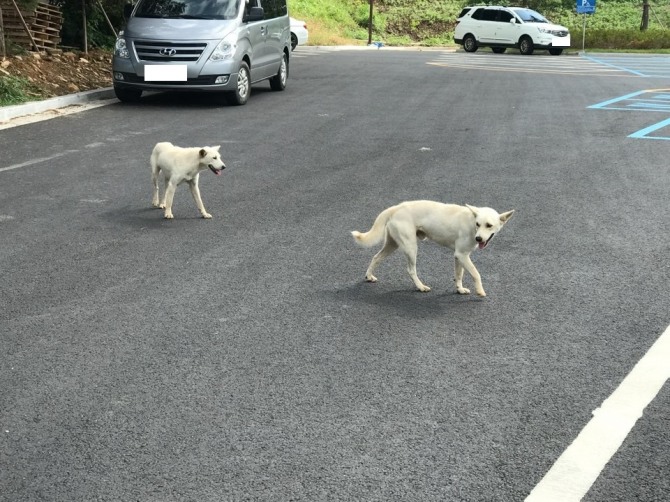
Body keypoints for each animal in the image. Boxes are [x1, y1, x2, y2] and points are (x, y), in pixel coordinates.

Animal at [352, 199, 516, 294]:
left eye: (489, 225)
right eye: (478, 224)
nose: (479, 238)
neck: (471, 221)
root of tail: (396, 207)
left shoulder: (460, 256)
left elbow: (459, 274)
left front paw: (460, 289)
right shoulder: (462, 255)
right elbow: (476, 274)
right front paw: (480, 291)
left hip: (392, 244)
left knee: (376, 257)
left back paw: (369, 276)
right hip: (411, 247)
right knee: (411, 270)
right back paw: (420, 286)